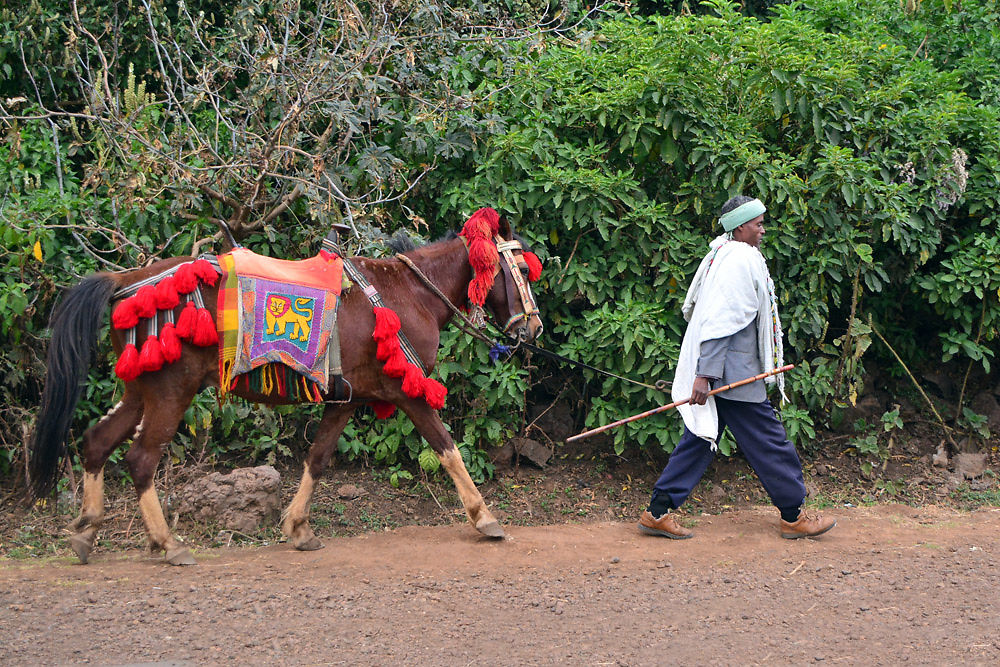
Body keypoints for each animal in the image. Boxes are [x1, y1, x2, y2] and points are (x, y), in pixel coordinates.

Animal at [27, 213, 544, 564]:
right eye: (520, 271)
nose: (534, 327)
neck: (408, 294)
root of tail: (125, 281)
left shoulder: (348, 397)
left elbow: (317, 457)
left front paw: (297, 527)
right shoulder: (407, 391)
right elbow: (448, 448)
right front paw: (484, 517)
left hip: (141, 390)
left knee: (97, 442)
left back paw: (86, 531)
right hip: (171, 392)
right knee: (140, 459)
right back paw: (168, 543)